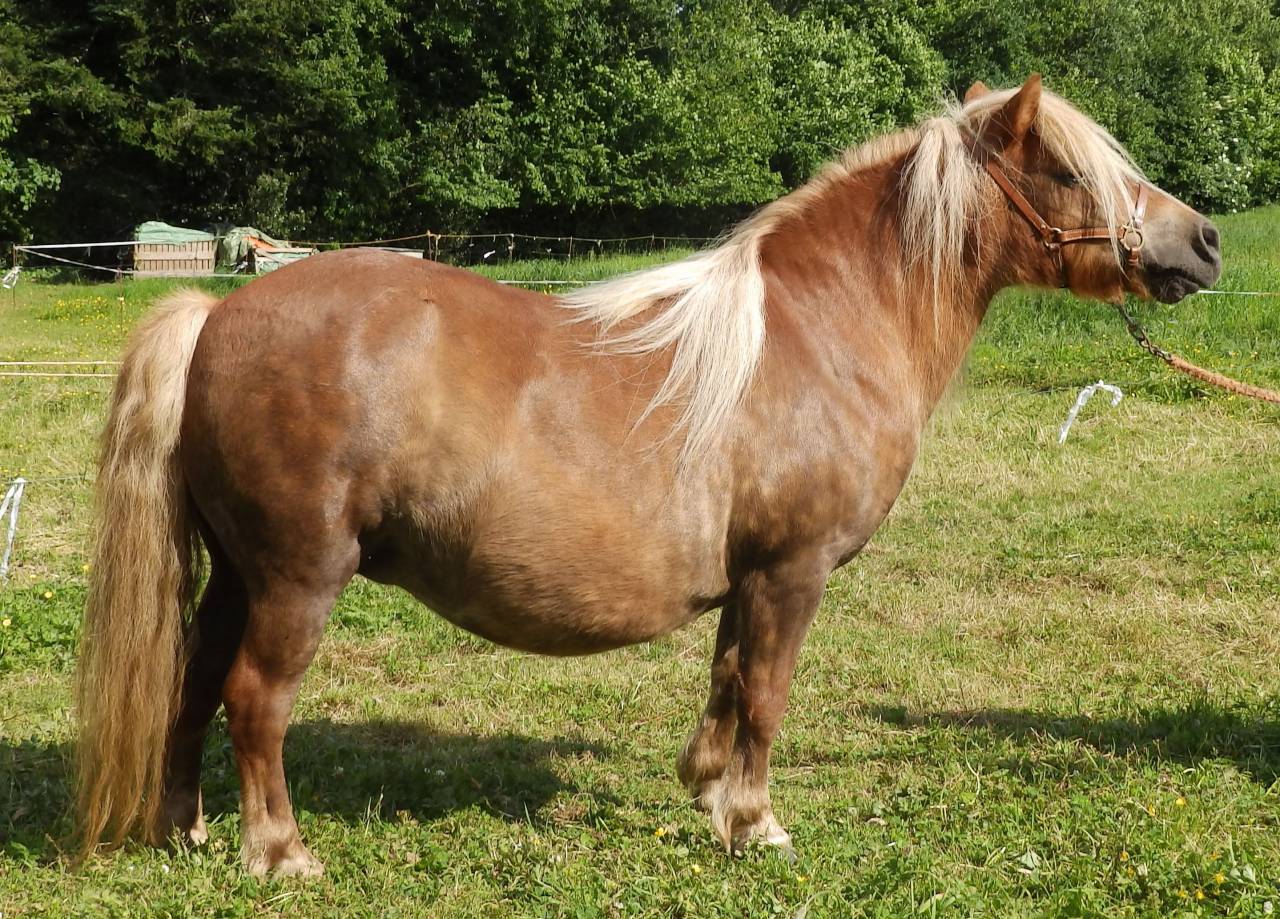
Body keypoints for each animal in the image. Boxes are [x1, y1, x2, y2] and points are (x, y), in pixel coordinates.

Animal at [74, 75, 1221, 875]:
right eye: (1071, 172)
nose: (1203, 241)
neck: (819, 334)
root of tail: (218, 314)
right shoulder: (791, 572)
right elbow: (764, 694)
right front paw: (756, 824)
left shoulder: (749, 580)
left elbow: (725, 684)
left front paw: (709, 794)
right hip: (297, 577)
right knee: (255, 700)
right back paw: (279, 851)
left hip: (236, 571)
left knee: (191, 684)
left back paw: (184, 829)